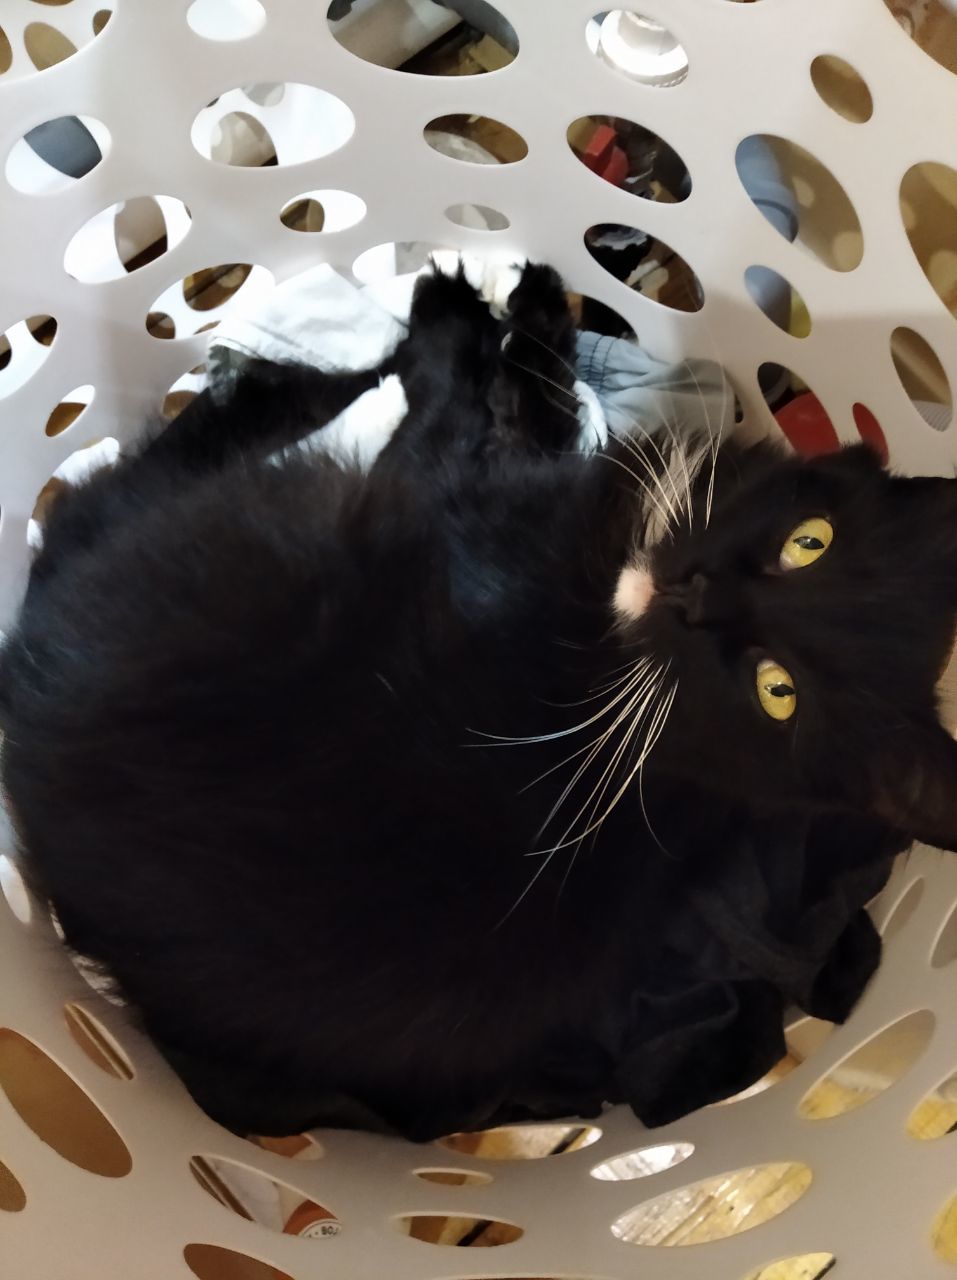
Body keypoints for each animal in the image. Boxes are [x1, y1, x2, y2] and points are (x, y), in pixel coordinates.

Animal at [1, 262, 957, 1141]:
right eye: (809, 544)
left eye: (777, 692)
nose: (697, 598)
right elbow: (538, 409)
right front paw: (532, 312)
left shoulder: (450, 494)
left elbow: (448, 417)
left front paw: (446, 327)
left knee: (149, 477)